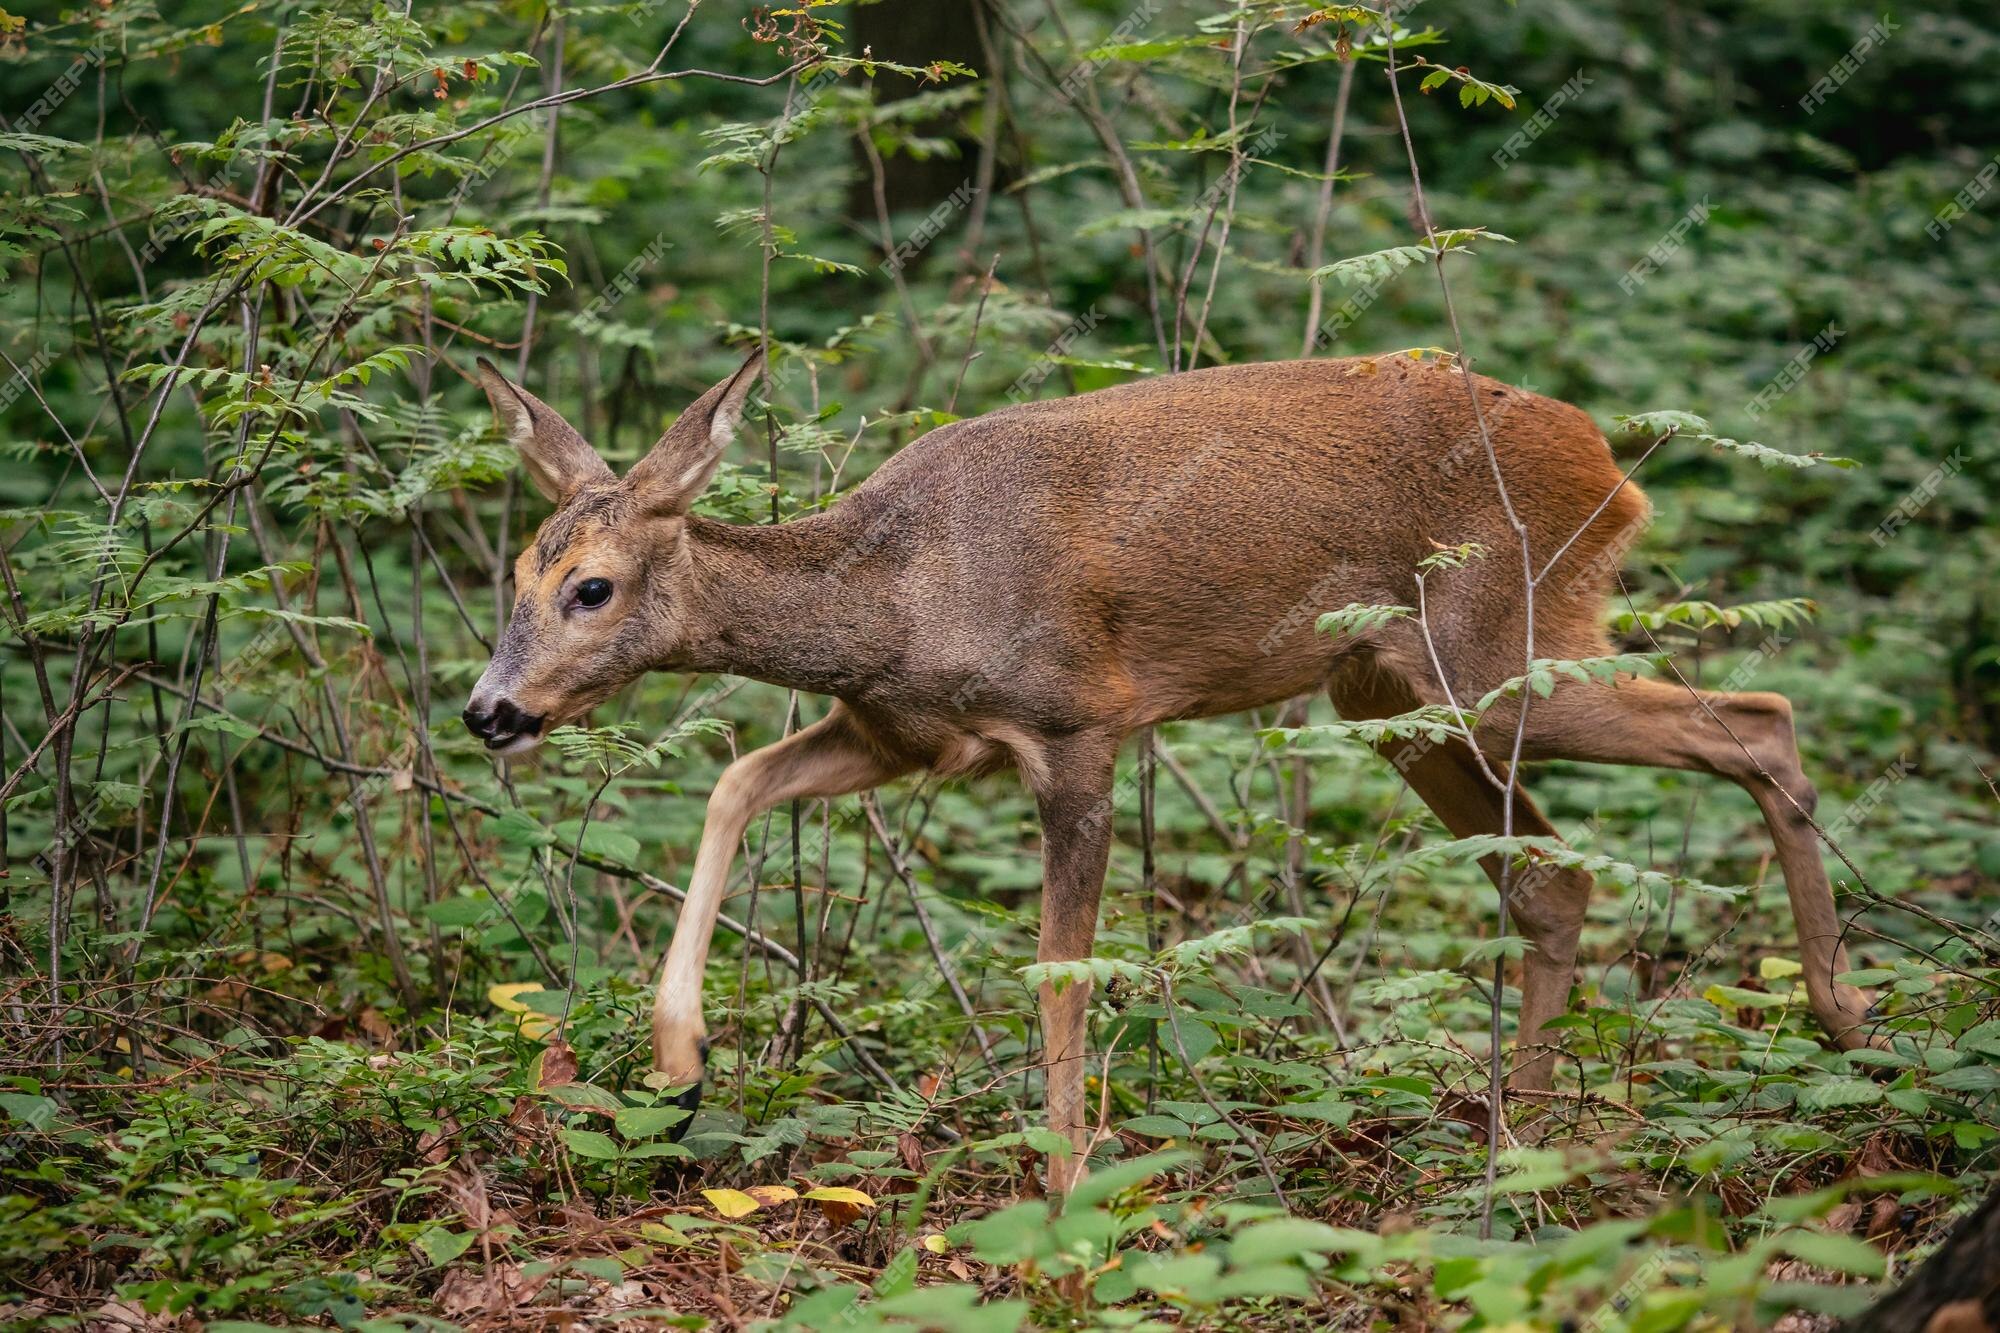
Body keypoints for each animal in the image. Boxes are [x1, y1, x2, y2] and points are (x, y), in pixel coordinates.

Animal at [464, 348, 1872, 1176]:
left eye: (590, 587)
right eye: (512, 577)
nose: (489, 710)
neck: (893, 600)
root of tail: (1605, 463)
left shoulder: (1078, 725)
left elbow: (1059, 972)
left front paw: (1066, 1190)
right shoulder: (900, 734)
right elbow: (731, 783)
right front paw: (677, 1061)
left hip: (1497, 646)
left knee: (1755, 714)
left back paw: (1840, 1016)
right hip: (1390, 693)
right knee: (1553, 875)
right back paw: (1528, 1130)